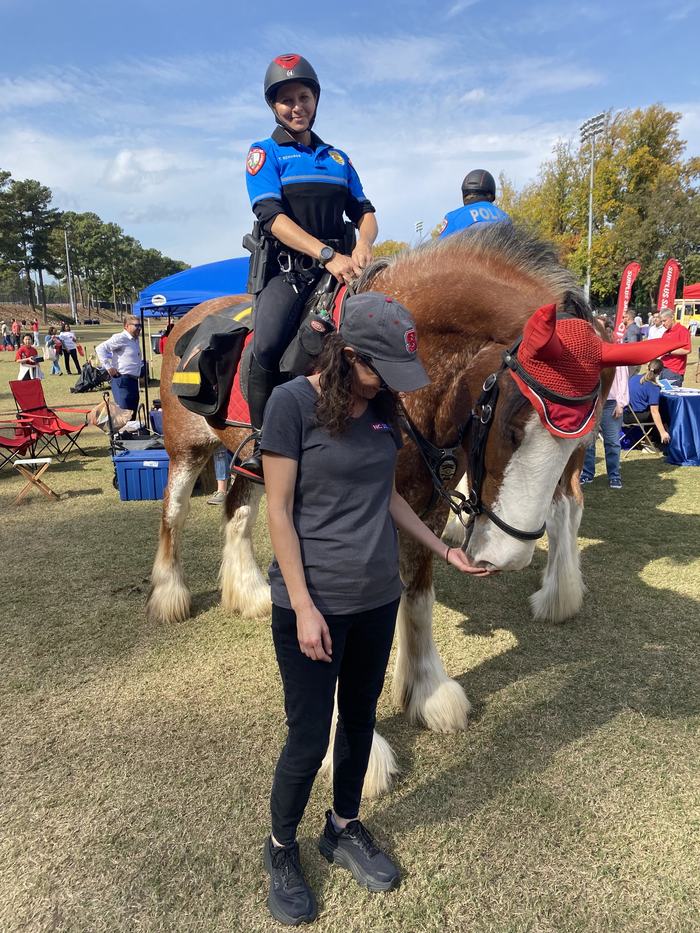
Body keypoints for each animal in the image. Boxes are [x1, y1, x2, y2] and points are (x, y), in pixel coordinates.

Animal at [147, 224, 600, 797]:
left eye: (580, 441)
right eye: (514, 423)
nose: (510, 556)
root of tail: (185, 322)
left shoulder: (424, 505)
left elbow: (418, 595)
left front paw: (427, 690)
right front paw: (353, 756)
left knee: (236, 511)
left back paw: (247, 592)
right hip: (186, 449)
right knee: (174, 516)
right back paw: (170, 593)